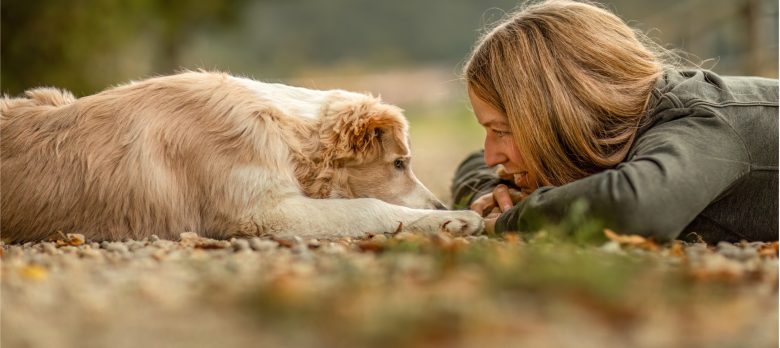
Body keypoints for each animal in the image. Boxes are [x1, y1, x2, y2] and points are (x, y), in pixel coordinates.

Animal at [0, 70, 484, 242]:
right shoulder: (261, 213)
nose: (441, 203)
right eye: (399, 163)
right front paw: (457, 220)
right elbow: (369, 207)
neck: (285, 134)